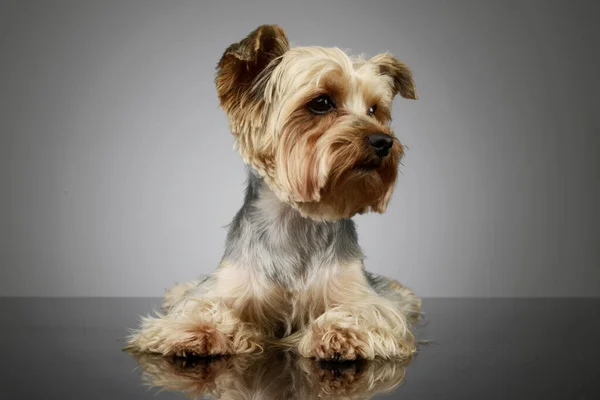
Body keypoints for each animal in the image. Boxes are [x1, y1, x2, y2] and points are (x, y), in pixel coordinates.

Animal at [125, 24, 420, 362]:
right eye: (321, 103)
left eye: (374, 110)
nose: (384, 141)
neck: (295, 219)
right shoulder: (226, 286)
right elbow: (200, 305)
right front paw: (197, 329)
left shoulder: (360, 293)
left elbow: (365, 310)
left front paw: (341, 332)